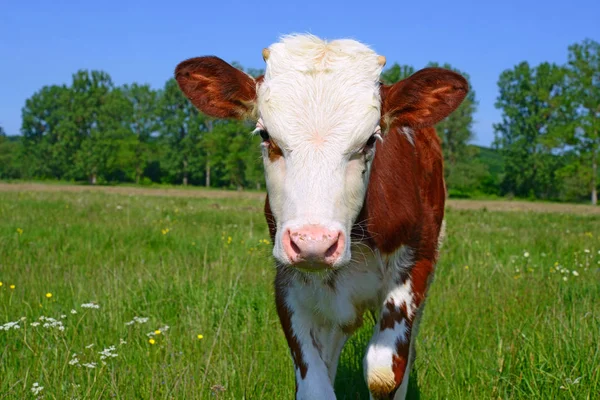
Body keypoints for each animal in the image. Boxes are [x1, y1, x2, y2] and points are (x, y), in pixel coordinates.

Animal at [176, 35, 466, 400]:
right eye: (265, 135)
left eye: (371, 139)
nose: (313, 243)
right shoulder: (288, 283)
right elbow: (315, 385)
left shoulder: (417, 263)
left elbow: (385, 374)